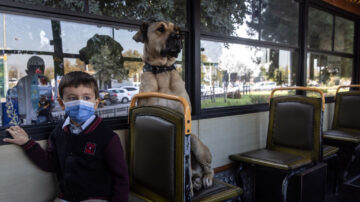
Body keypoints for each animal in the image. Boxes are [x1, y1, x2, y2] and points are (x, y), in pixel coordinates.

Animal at [134, 20, 214, 194]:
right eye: (160, 29)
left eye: (177, 29)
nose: (178, 36)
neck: (162, 70)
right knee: (195, 174)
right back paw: (196, 181)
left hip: (197, 144)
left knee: (207, 168)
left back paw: (205, 179)